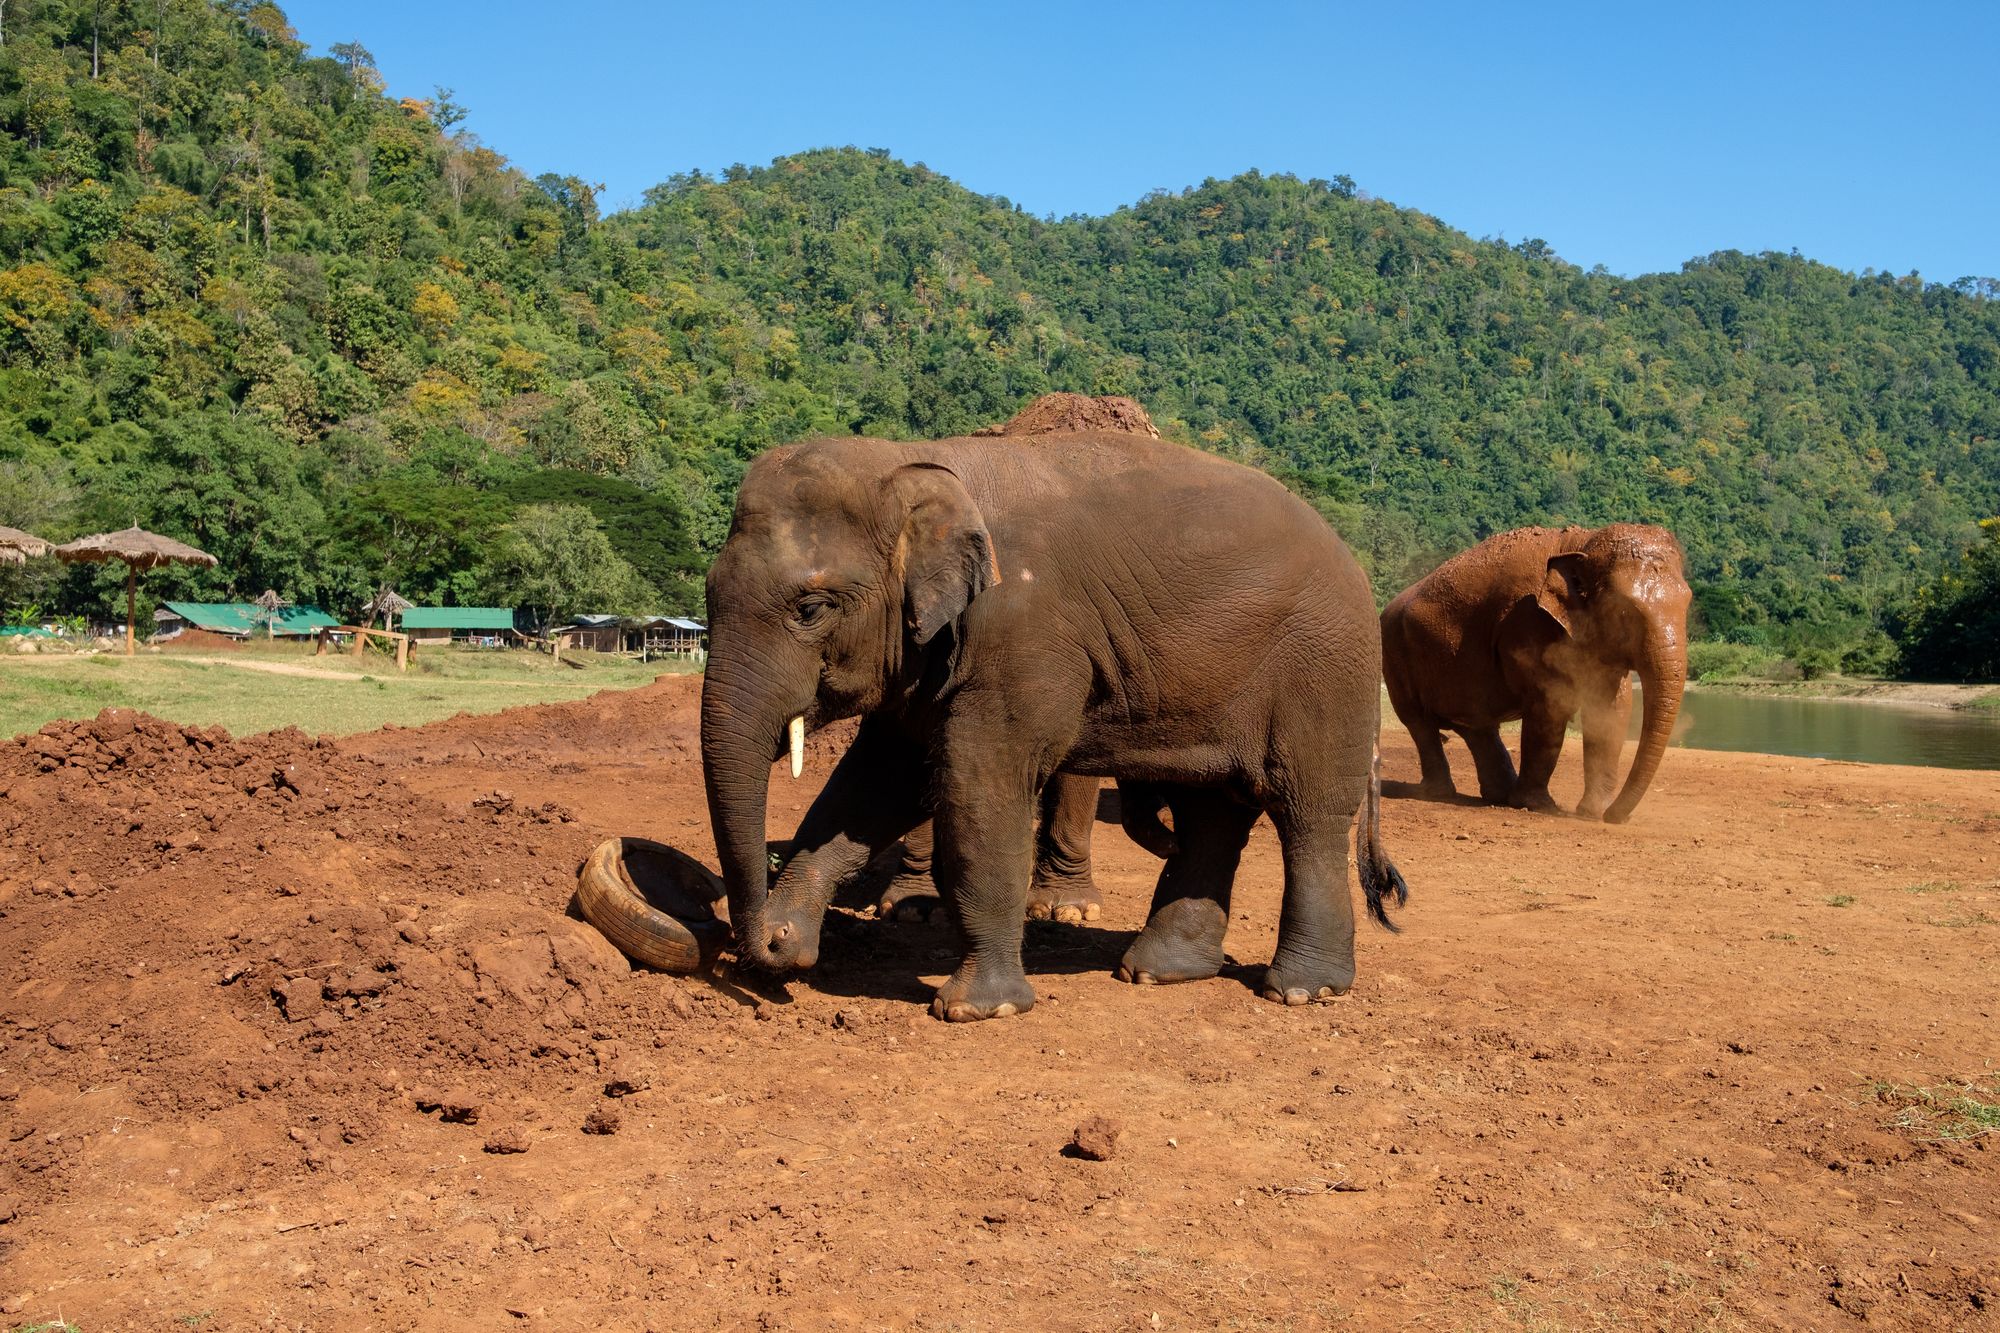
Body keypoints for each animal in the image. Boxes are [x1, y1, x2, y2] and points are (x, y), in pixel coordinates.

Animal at [700, 426, 1408, 1016]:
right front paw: (790, 938)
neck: (914, 461)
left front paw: (976, 1009)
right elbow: (873, 786)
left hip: (1325, 669)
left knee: (1307, 814)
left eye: (811, 607)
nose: (759, 947)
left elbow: (982, 789)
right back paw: (1158, 972)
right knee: (1213, 813)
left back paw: (1302, 991)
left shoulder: (1022, 633)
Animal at [1384, 520, 1696, 820]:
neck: (1582, 542)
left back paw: (1498, 796)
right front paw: (1540, 806)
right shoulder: (1527, 624)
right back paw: (1440, 793)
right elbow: (1550, 708)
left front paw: (1593, 812)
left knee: (1477, 726)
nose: (1614, 817)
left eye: (1689, 601)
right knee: (1419, 722)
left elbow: (1611, 709)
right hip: (1395, 655)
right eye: (1625, 611)